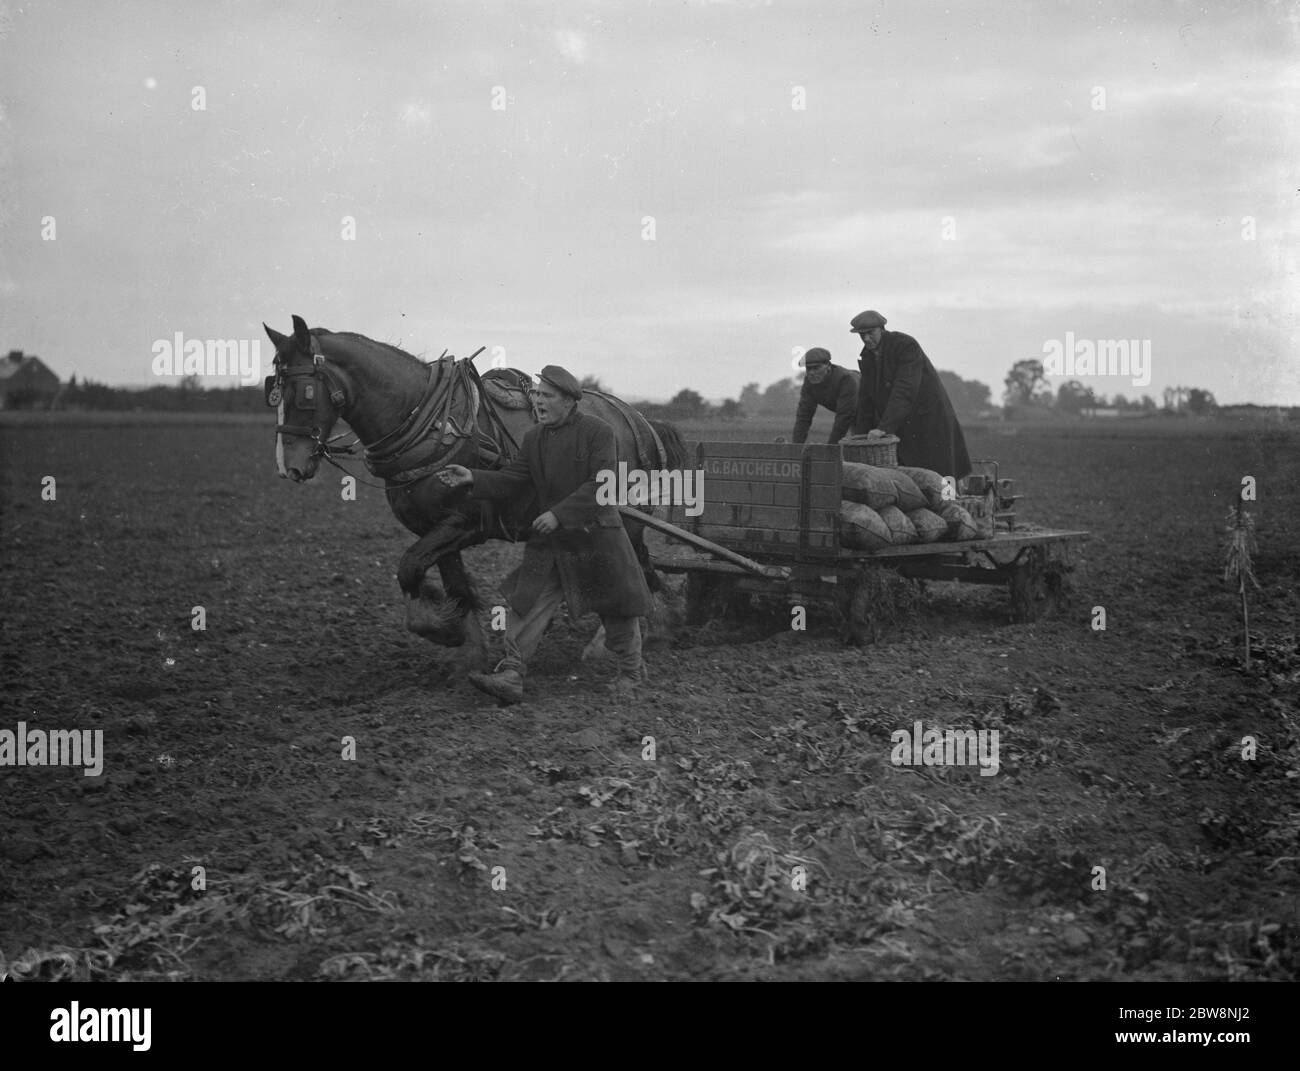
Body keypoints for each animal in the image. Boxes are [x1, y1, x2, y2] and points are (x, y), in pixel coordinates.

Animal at [262, 309, 691, 660]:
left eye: (304, 390)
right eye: (272, 389)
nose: (288, 466)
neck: (430, 423)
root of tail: (638, 417)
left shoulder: (465, 523)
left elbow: (409, 569)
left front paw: (442, 627)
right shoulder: (434, 529)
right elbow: (450, 586)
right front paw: (468, 650)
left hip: (625, 518)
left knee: (635, 568)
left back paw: (639, 633)